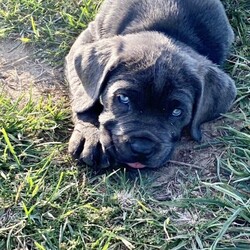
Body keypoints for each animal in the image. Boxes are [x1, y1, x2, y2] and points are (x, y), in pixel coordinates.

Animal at [65, 0, 236, 170]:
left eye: (177, 112)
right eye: (123, 98)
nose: (142, 148)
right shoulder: (89, 36)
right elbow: (85, 95)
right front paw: (91, 134)